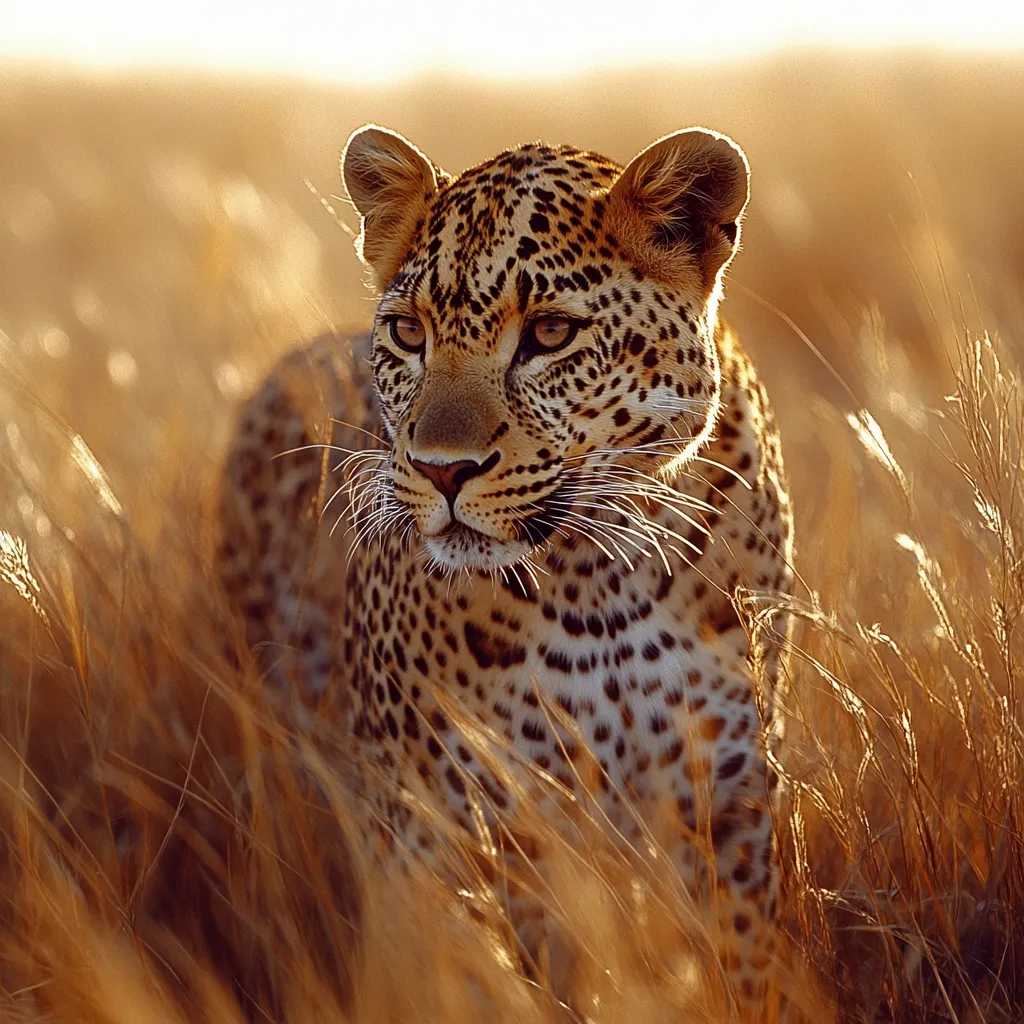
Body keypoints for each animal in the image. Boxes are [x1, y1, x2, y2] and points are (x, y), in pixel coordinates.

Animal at [217, 123, 794, 1012]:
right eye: (409, 333)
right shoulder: (439, 824)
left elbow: (741, 974)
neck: (599, 581)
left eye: (550, 334)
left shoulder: (728, 807)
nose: (442, 469)